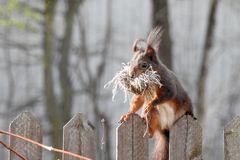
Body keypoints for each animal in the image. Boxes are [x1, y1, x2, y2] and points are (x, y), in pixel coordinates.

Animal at [119, 26, 194, 159]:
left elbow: (168, 94)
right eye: (130, 63)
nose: (131, 75)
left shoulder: (168, 85)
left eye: (144, 65)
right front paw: (128, 114)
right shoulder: (142, 92)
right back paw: (147, 127)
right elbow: (137, 101)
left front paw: (151, 103)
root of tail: (167, 126)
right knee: (152, 129)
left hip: (184, 107)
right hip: (155, 116)